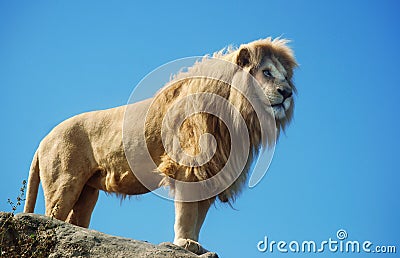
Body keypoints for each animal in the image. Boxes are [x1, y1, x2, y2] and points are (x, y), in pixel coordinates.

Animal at [22, 37, 296, 255]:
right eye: (267, 73)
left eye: (285, 77)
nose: (287, 93)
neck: (236, 114)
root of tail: (43, 140)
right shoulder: (189, 167)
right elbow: (188, 212)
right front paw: (185, 244)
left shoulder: (211, 172)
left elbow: (199, 216)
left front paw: (197, 245)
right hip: (65, 182)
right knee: (53, 216)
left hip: (87, 191)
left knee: (74, 221)